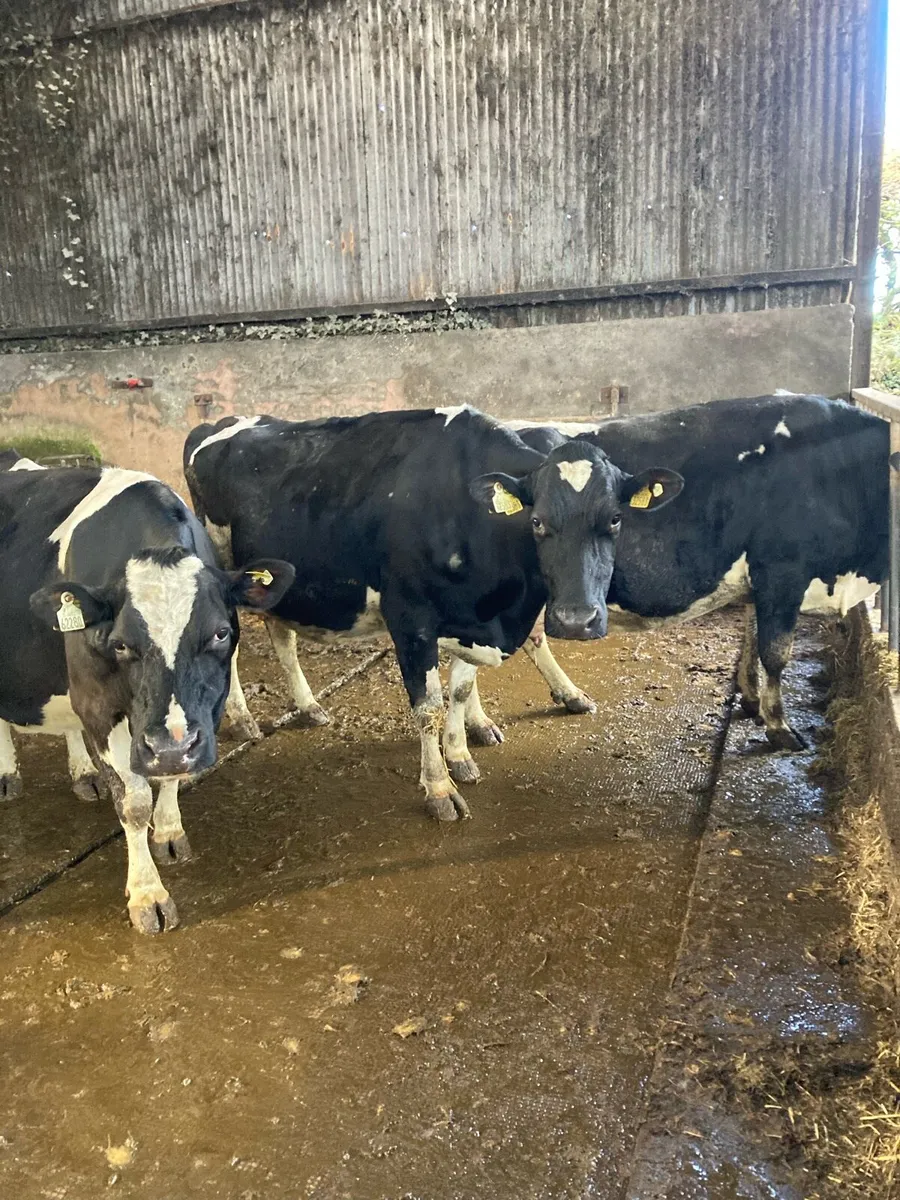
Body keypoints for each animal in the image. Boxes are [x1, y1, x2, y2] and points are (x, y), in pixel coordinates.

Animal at [0, 461, 293, 931]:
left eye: (220, 633)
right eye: (119, 644)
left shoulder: (196, 716)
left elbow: (173, 771)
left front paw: (170, 831)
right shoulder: (98, 705)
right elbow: (134, 803)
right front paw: (147, 894)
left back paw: (83, 773)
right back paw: (8, 774)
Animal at [184, 407, 682, 820]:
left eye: (615, 518)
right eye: (537, 521)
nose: (578, 619)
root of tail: (217, 423)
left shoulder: (473, 620)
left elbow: (459, 693)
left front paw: (459, 755)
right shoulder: (411, 621)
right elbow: (429, 707)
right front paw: (439, 789)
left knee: (282, 636)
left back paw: (308, 706)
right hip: (228, 575)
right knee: (230, 649)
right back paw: (243, 719)